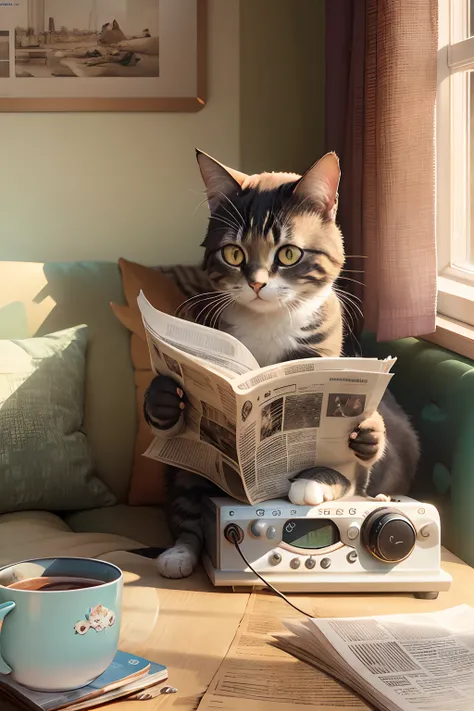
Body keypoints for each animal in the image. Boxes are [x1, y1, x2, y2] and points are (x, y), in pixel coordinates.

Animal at [144, 150, 418, 580]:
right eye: (234, 253)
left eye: (289, 253)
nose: (257, 283)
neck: (268, 322)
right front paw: (165, 399)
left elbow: (347, 464)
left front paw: (316, 479)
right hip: (193, 470)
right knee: (189, 495)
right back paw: (179, 554)